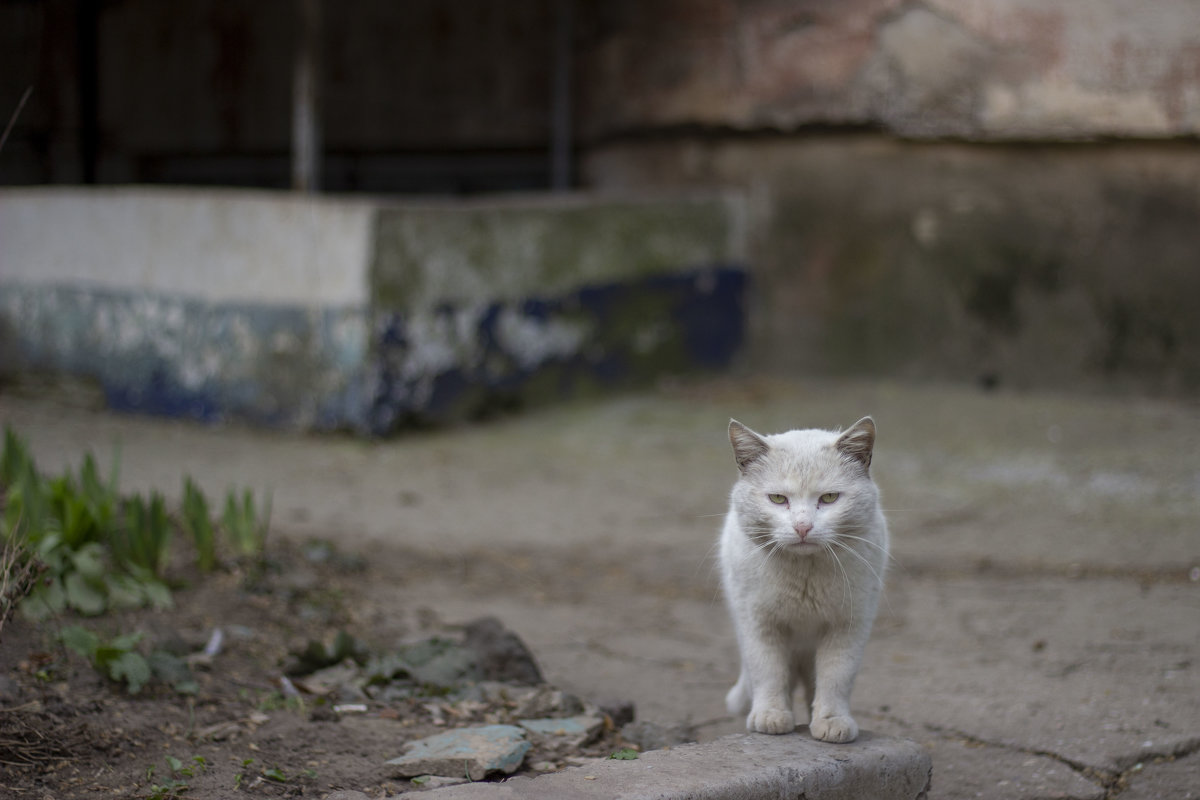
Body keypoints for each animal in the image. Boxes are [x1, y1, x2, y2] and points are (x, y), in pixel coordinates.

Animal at [715, 419, 888, 743]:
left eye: (829, 498)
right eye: (778, 499)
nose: (803, 527)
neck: (804, 576)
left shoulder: (849, 625)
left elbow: (837, 676)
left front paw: (832, 721)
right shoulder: (758, 624)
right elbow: (768, 671)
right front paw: (770, 716)